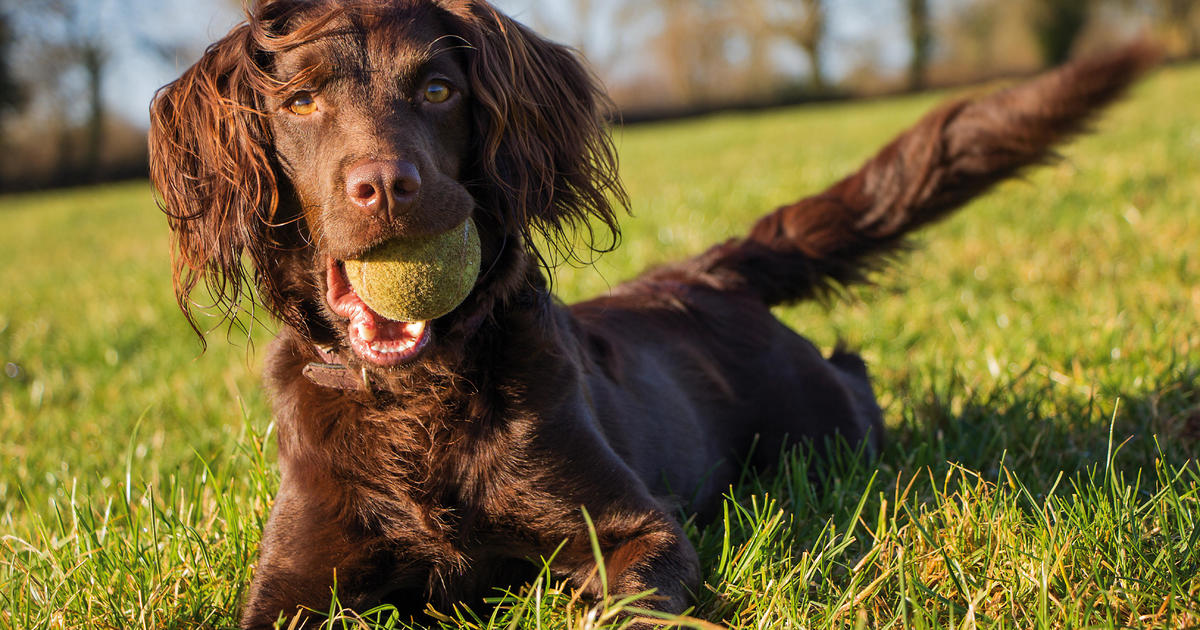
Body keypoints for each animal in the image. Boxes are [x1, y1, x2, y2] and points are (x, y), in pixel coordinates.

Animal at [147, 2, 1152, 624]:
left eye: (437, 90)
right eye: (300, 100)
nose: (388, 186)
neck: (417, 397)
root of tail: (707, 271)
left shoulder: (635, 527)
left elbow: (627, 602)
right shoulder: (293, 586)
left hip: (826, 423)